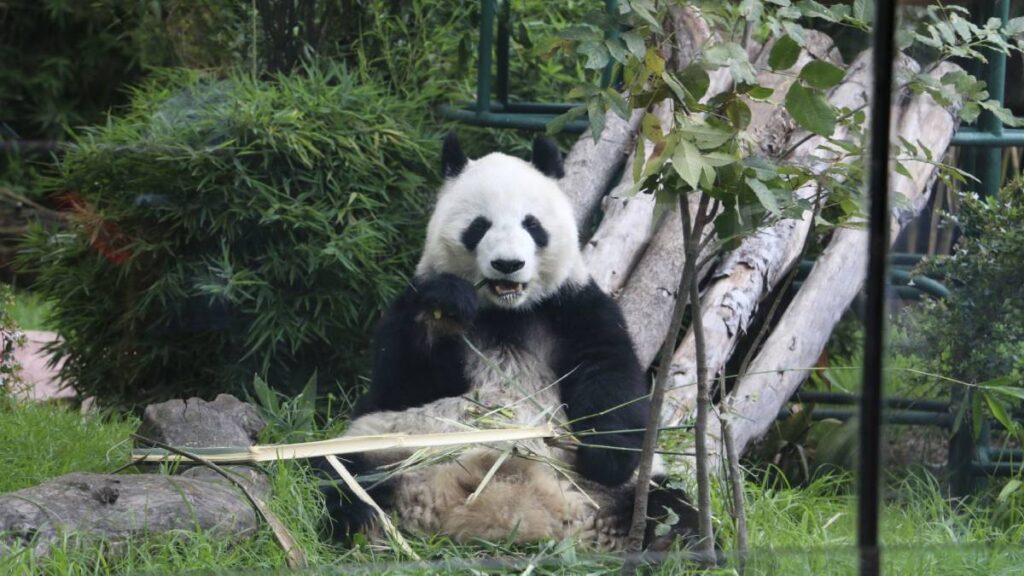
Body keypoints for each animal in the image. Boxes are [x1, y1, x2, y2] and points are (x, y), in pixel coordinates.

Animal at [319, 132, 700, 549]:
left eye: (532, 224)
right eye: (479, 226)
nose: (508, 264)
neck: (506, 312)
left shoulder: (575, 307)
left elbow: (612, 375)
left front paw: (606, 455)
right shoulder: (413, 302)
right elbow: (398, 381)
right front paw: (449, 305)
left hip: (614, 489)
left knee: (672, 507)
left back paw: (667, 540)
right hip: (390, 445)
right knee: (340, 476)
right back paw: (361, 523)